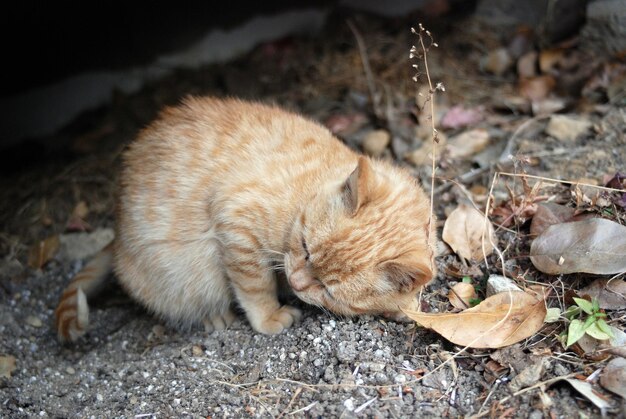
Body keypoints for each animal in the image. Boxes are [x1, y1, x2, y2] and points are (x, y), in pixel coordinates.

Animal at [53, 97, 434, 342]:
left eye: (328, 290)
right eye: (305, 247)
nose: (296, 283)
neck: (307, 188)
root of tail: (117, 233)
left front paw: (406, 307)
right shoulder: (236, 224)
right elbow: (255, 285)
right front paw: (268, 315)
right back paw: (213, 314)